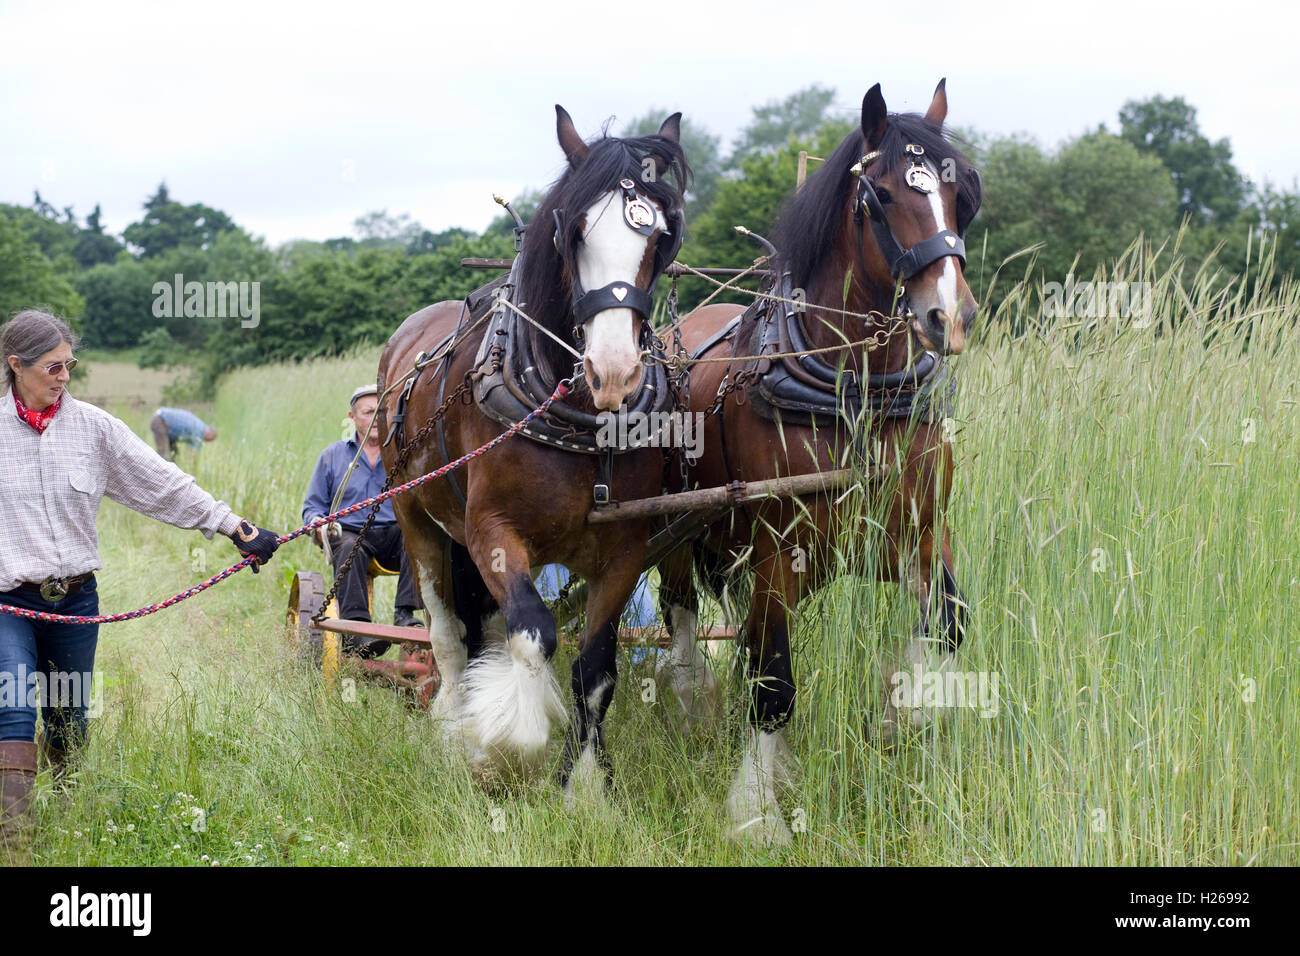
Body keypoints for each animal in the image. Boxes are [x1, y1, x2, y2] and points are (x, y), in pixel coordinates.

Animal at [379, 106, 691, 790]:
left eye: (661, 238)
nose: (613, 372)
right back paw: (450, 720)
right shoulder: (493, 530)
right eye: (572, 232)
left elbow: (596, 667)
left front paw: (586, 785)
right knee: (447, 633)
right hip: (417, 516)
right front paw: (503, 751)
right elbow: (534, 635)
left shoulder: (625, 549)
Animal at [665, 82, 977, 842]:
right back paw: (689, 706)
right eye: (882, 196)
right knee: (682, 613)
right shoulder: (778, 555)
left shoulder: (917, 536)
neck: (855, 392)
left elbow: (950, 622)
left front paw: (901, 712)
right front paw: (756, 811)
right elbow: (775, 679)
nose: (949, 318)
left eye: (961, 195)